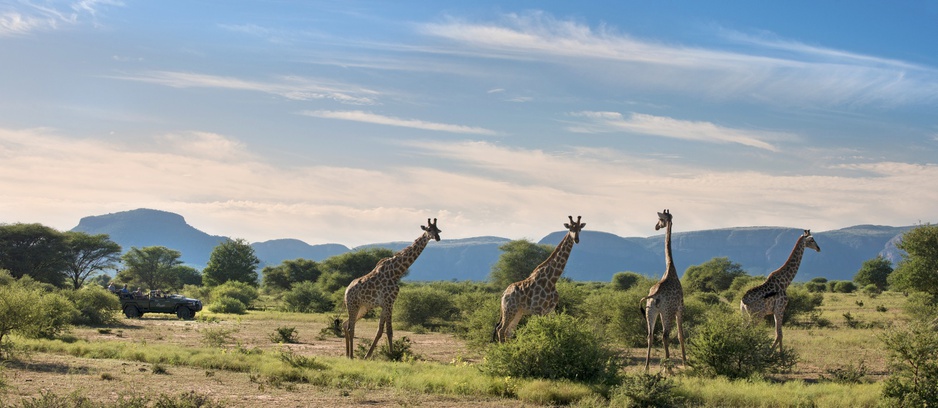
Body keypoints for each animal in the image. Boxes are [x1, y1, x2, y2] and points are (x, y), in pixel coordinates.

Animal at [342, 218, 440, 358]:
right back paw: (351, 356)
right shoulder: (389, 302)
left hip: (363, 308)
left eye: (438, 230)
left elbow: (380, 330)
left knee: (345, 324)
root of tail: (346, 291)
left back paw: (347, 354)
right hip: (353, 305)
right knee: (351, 328)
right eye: (429, 229)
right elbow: (389, 331)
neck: (396, 273)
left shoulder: (386, 304)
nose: (437, 237)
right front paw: (393, 356)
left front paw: (368, 355)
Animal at [640, 209, 684, 372]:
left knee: (650, 335)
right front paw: (686, 363)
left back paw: (646, 367)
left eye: (660, 219)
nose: (656, 226)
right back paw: (668, 369)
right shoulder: (680, 307)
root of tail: (655, 295)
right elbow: (680, 335)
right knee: (665, 335)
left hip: (651, 311)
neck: (670, 268)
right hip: (667, 311)